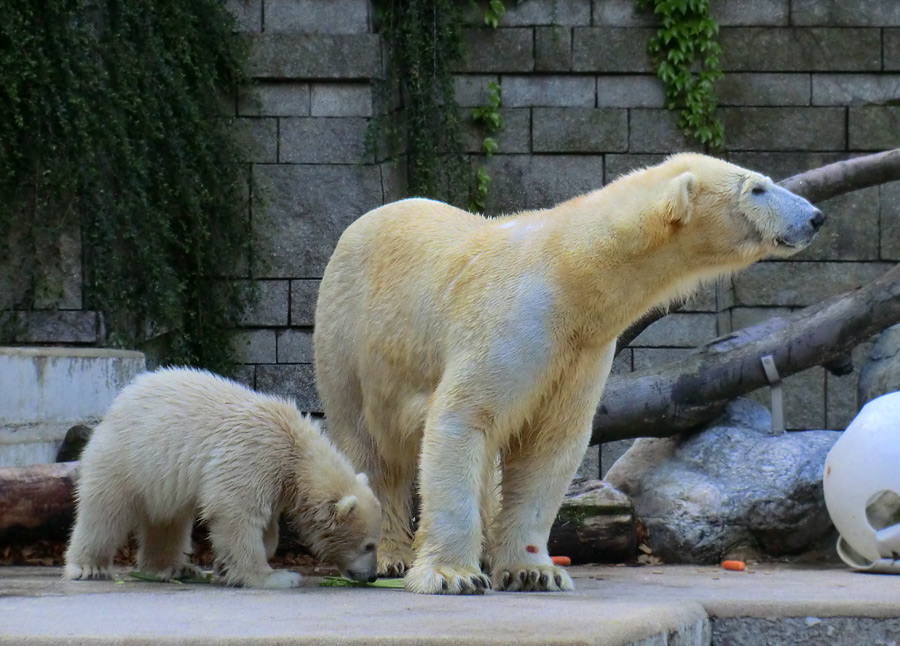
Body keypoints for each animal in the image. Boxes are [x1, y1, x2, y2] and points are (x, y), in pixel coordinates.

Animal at [314, 153, 824, 596]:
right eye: (756, 188)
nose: (816, 217)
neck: (569, 274)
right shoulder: (513, 323)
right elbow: (464, 418)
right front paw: (451, 575)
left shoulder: (582, 352)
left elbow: (551, 443)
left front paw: (533, 571)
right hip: (349, 337)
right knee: (367, 446)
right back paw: (389, 555)